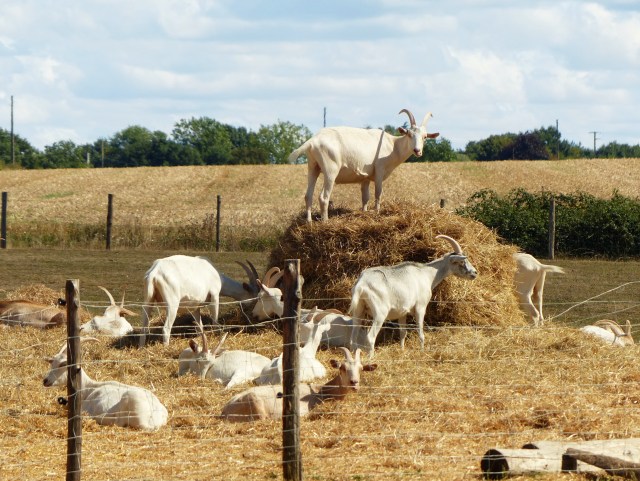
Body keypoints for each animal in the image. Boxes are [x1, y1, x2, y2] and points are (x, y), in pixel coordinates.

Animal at [221, 347, 377, 422]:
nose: (354, 383)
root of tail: (224, 411)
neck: (321, 390)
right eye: (342, 368)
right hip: (256, 405)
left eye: (361, 369)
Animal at [288, 108, 439, 222]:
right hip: (330, 171)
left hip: (313, 167)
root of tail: (313, 141)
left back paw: (309, 222)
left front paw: (365, 213)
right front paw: (377, 212)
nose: (417, 151)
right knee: (324, 197)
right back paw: (325, 221)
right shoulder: (379, 171)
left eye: (424, 137)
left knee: (308, 195)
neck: (392, 145)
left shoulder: (365, 178)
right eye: (409, 134)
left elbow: (365, 198)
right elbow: (378, 194)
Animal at [349, 235, 478, 358]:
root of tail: (362, 283)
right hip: (380, 313)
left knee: (353, 336)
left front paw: (402, 350)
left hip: (359, 311)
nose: (475, 273)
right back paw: (371, 358)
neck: (427, 274)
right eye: (462, 262)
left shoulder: (402, 312)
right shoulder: (420, 307)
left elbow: (403, 332)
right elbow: (420, 332)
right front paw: (422, 351)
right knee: (370, 336)